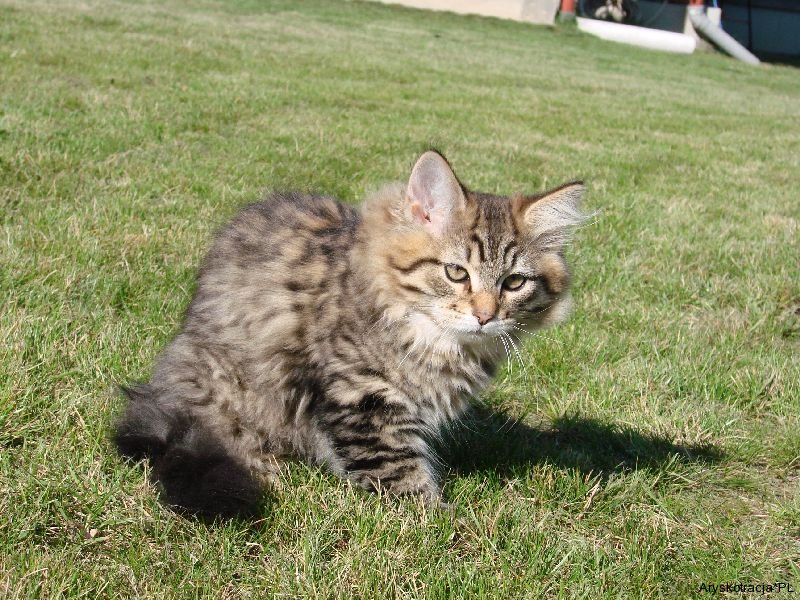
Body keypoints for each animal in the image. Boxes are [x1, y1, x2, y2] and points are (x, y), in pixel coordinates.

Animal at [114, 151, 585, 519]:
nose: (485, 317)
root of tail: (163, 388)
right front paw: (441, 525)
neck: (437, 341)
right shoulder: (363, 395)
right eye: (456, 272)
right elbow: (400, 476)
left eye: (514, 283)